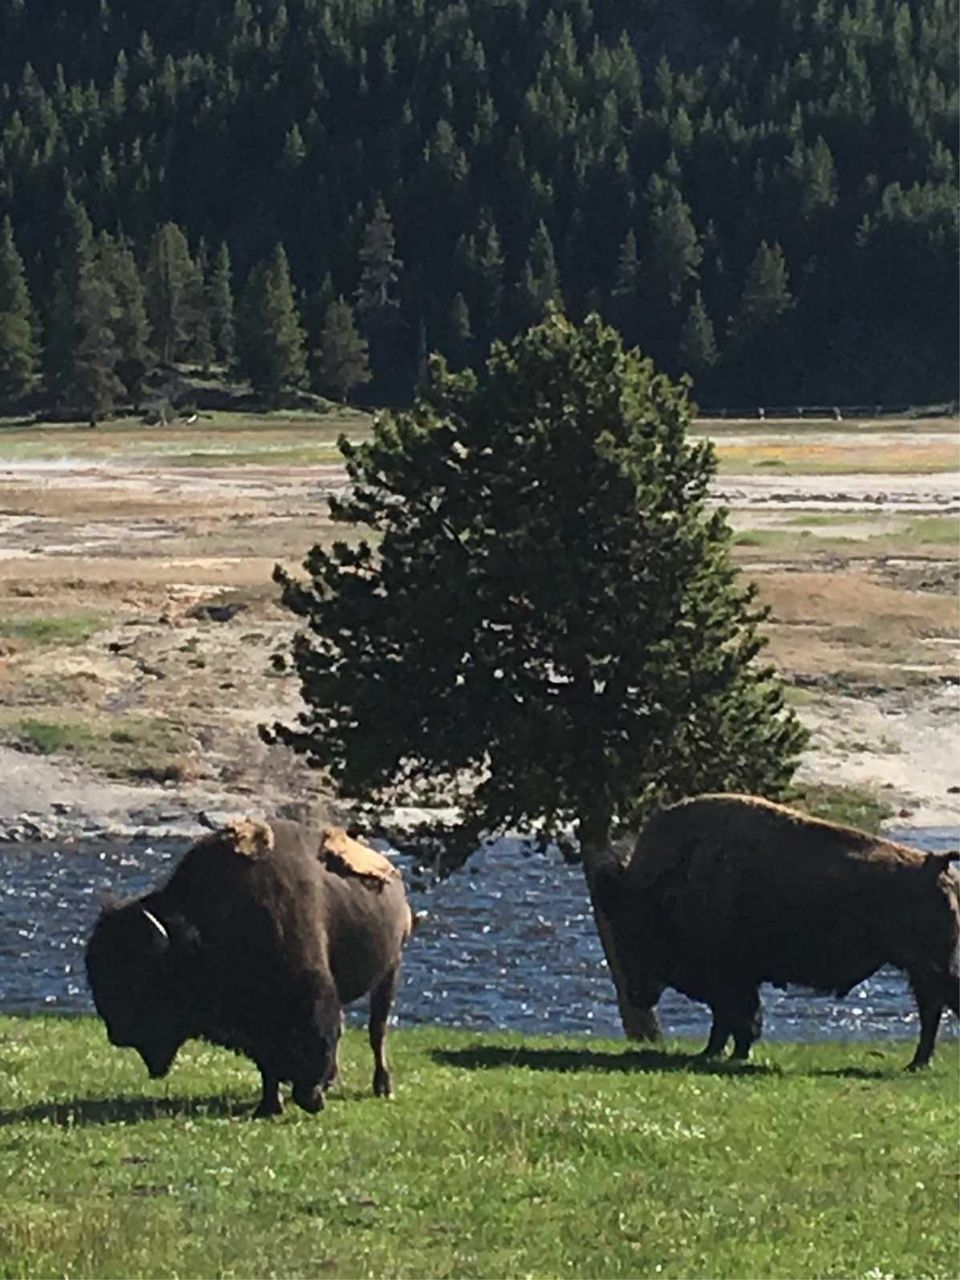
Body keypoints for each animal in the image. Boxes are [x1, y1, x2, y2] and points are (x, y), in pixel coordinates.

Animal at [89, 819, 417, 1111]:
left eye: (141, 977)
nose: (117, 1035)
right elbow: (268, 1063)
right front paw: (270, 1106)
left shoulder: (311, 997)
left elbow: (317, 1040)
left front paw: (311, 1098)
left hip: (390, 969)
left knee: (377, 1030)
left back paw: (382, 1087)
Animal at [599, 793, 957, 1064]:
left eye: (634, 927)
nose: (636, 994)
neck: (675, 883)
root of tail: (936, 866)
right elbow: (729, 1018)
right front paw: (716, 1053)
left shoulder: (731, 978)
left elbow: (737, 1017)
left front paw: (730, 1055)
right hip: (923, 970)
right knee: (932, 1011)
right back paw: (916, 1064)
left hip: (929, 968)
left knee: (933, 1010)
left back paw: (917, 1063)